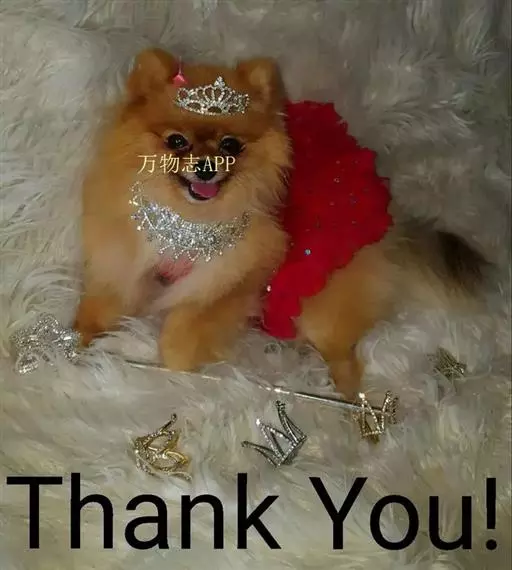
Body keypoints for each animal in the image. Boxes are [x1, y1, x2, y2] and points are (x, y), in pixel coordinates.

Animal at [74, 48, 488, 398]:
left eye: (230, 145)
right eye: (176, 141)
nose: (206, 168)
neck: (183, 223)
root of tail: (394, 226)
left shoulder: (236, 280)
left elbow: (185, 326)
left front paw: (173, 360)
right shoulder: (124, 260)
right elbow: (102, 305)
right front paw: (79, 343)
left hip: (321, 308)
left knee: (347, 359)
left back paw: (344, 399)